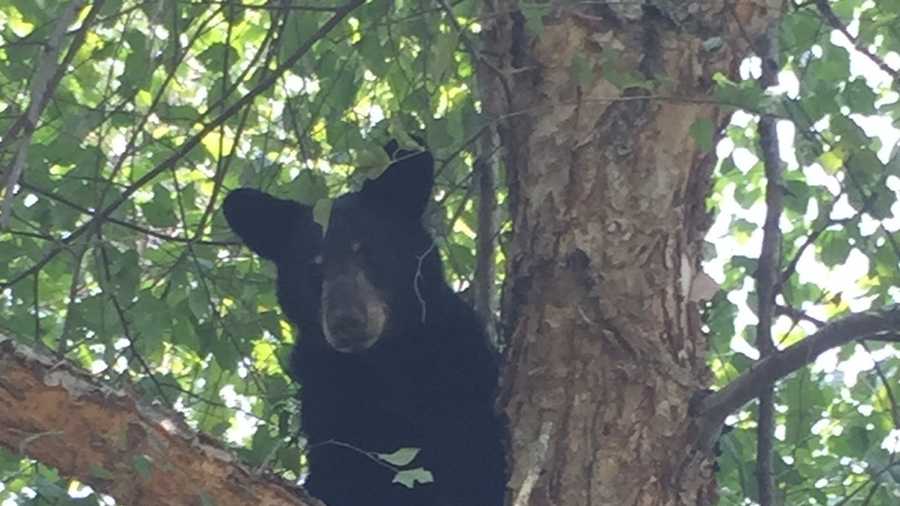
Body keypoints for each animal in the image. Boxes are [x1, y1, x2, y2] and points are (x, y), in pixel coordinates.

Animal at [221, 140, 506, 506]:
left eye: (366, 250)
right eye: (314, 265)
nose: (346, 322)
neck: (380, 365)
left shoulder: (462, 380)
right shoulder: (329, 406)